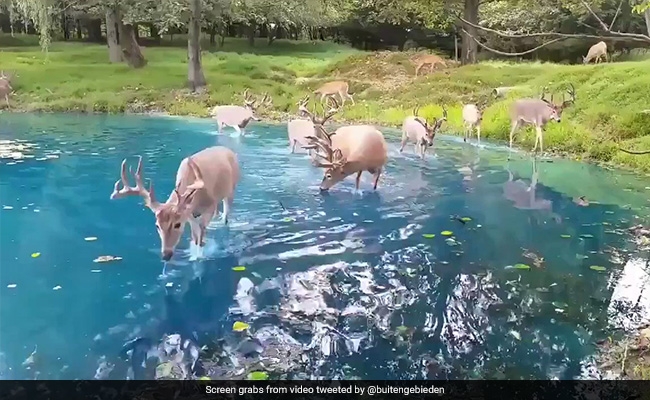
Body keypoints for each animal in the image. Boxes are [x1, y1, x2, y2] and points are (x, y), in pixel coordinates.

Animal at [110, 146, 240, 262]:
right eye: (157, 225)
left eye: (177, 224)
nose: (166, 255)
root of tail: (228, 150)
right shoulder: (189, 214)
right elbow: (195, 236)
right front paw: (193, 254)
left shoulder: (208, 208)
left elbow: (201, 235)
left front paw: (199, 256)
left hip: (231, 190)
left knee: (226, 214)